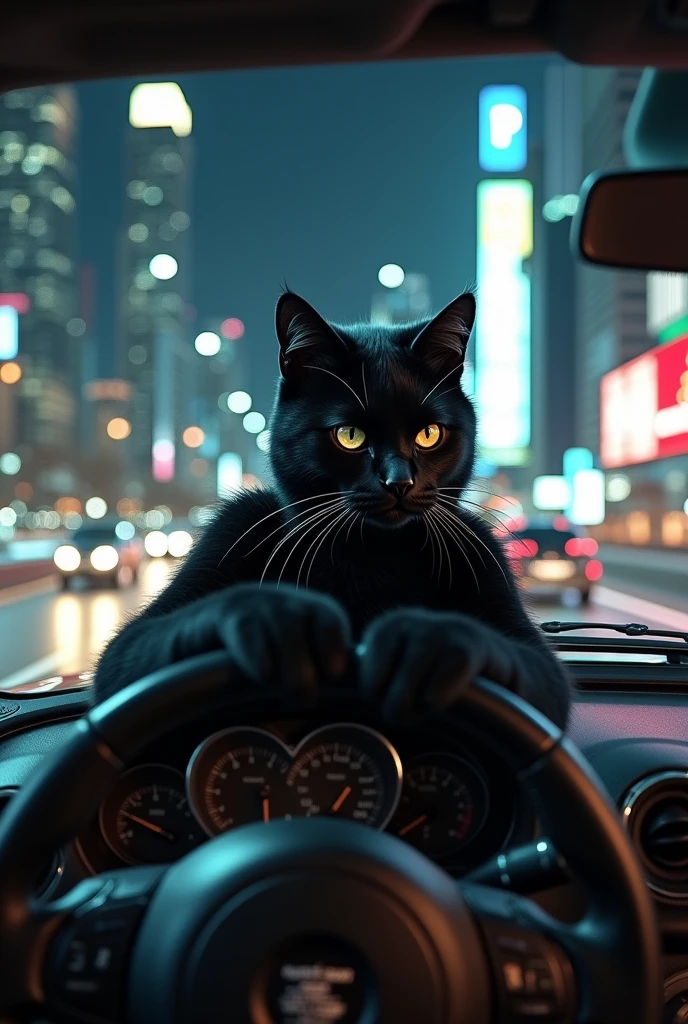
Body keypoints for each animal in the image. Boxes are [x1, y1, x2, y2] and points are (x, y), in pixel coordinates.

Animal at [94, 288, 573, 729]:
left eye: (430, 434)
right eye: (349, 435)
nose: (399, 481)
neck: (372, 557)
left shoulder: (484, 551)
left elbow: (540, 672)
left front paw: (425, 636)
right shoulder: (232, 527)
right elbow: (128, 649)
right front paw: (277, 615)